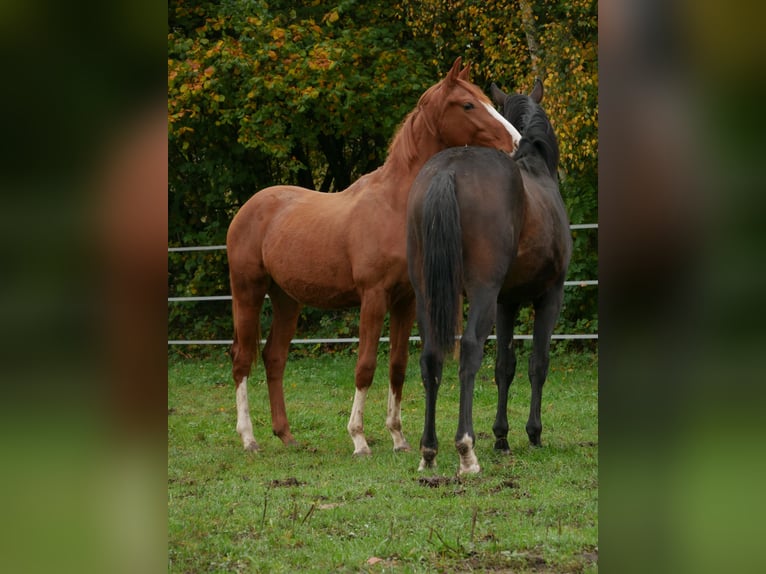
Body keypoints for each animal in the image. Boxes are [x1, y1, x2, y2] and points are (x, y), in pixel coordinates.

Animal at [224, 57, 520, 454]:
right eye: (469, 104)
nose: (516, 143)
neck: (394, 205)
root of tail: (248, 209)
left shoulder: (406, 300)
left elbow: (397, 366)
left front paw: (398, 437)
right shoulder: (373, 297)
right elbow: (365, 367)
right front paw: (359, 438)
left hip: (286, 298)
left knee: (274, 357)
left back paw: (286, 435)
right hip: (249, 291)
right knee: (242, 359)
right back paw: (249, 438)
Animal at [408, 81, 568, 476]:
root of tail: (448, 170)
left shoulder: (506, 302)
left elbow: (504, 366)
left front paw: (501, 436)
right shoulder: (549, 295)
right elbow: (537, 363)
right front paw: (533, 433)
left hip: (425, 290)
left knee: (431, 355)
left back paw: (429, 451)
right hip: (481, 292)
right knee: (469, 350)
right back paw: (466, 450)